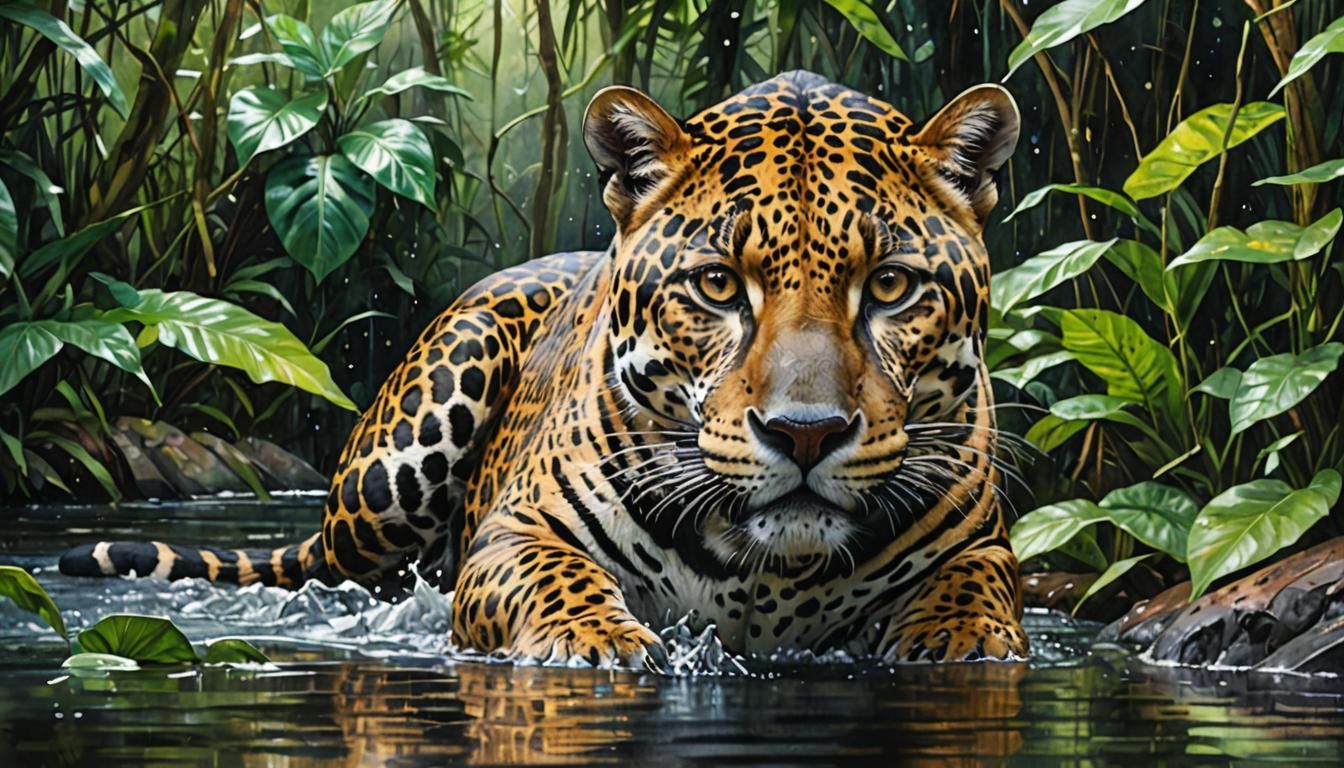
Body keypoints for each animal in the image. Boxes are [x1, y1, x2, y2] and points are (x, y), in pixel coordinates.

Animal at [61, 71, 1028, 667]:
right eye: (718, 284)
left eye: (891, 286)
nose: (806, 434)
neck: (770, 573)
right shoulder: (516, 530)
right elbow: (554, 579)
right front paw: (595, 642)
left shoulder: (979, 543)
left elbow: (978, 593)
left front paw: (957, 640)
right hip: (396, 468)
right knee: (341, 571)